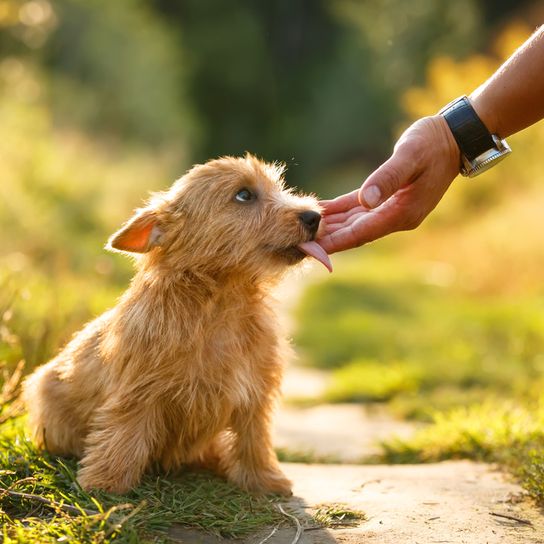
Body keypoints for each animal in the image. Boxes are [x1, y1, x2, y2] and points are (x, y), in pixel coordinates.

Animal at [22, 155, 332, 496]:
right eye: (244, 195)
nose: (314, 216)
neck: (220, 304)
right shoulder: (138, 391)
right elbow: (123, 435)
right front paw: (106, 484)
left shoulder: (254, 391)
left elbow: (254, 439)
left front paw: (265, 479)